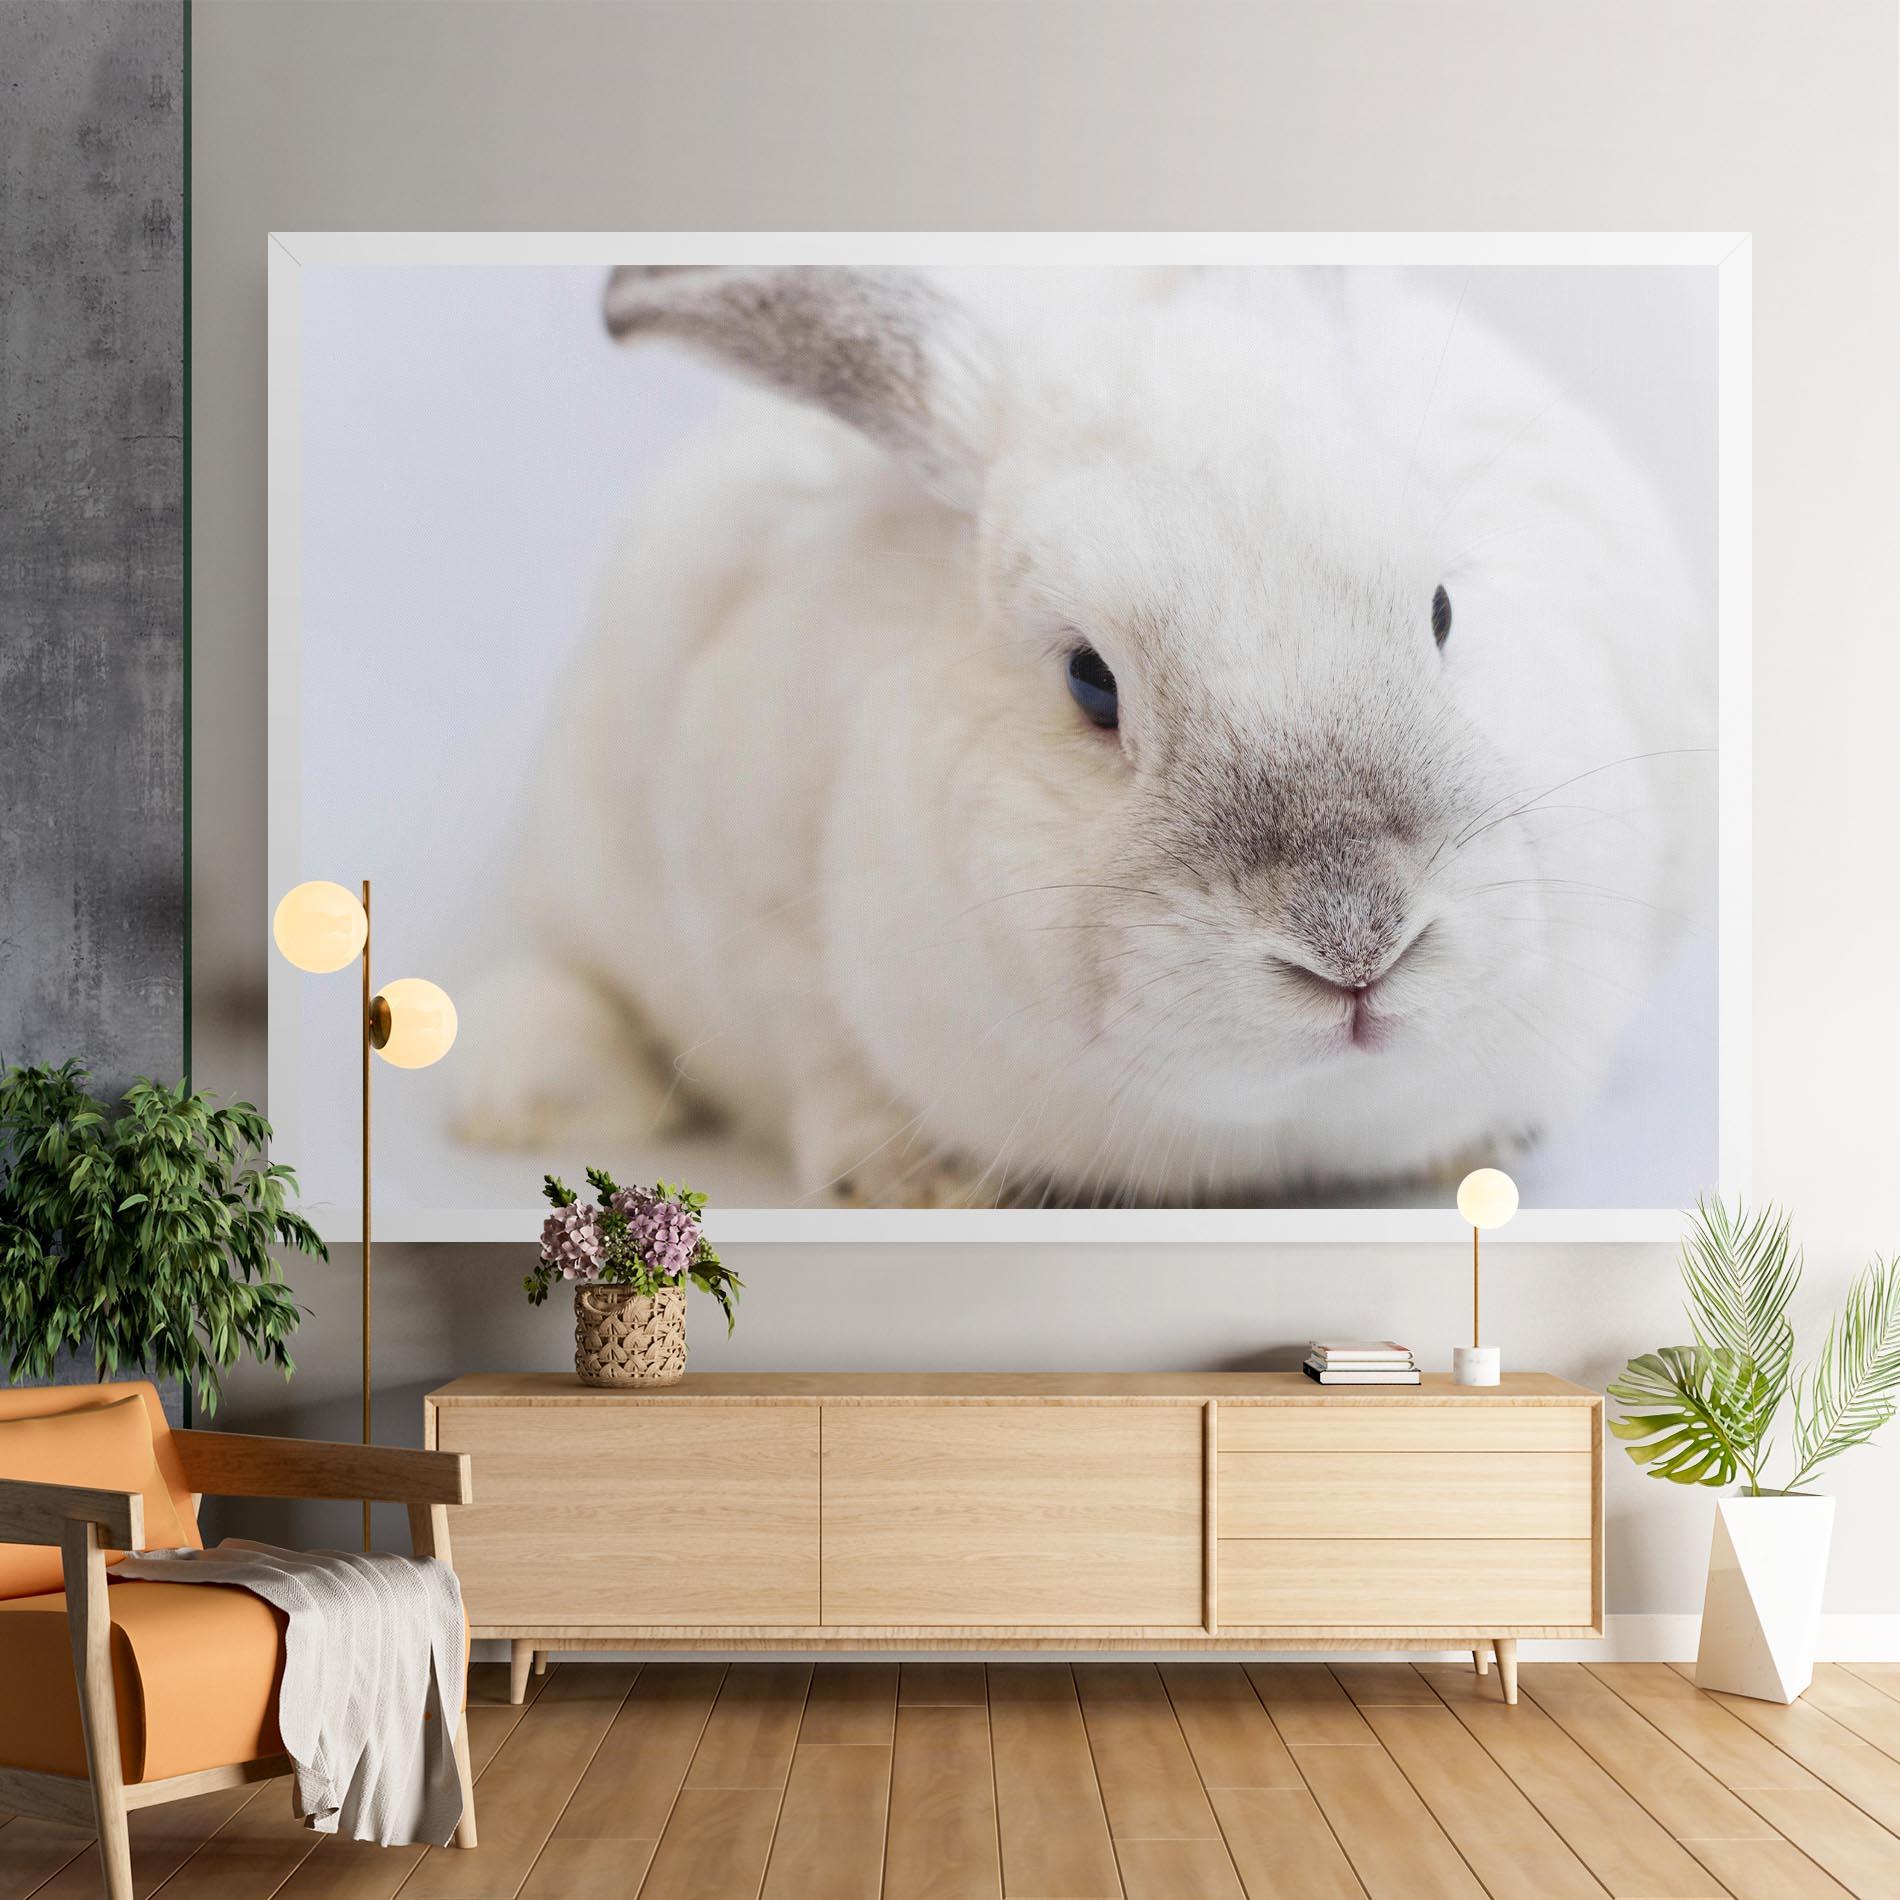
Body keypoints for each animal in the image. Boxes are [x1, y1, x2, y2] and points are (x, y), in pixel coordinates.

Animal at [453, 264, 1711, 1208]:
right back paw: (517, 1104)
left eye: (1443, 609)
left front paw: (1481, 1146)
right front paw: (915, 1180)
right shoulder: (752, 913)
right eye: (1089, 681)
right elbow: (825, 1062)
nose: (1355, 944)